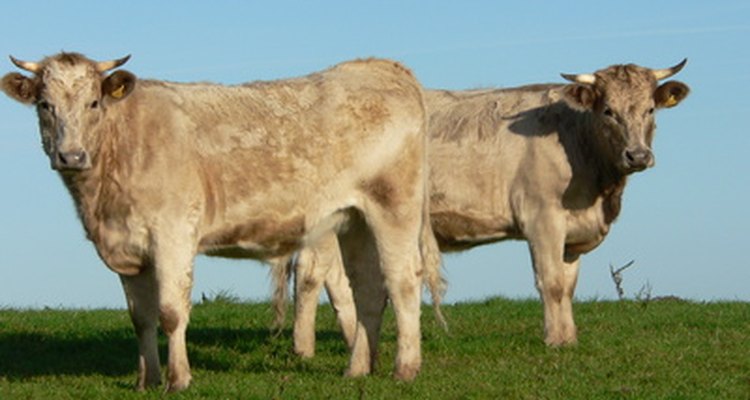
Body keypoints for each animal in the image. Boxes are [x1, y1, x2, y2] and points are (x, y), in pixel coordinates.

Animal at [2, 52, 440, 390]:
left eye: (93, 103)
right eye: (44, 105)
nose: (70, 155)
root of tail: (376, 66)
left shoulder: (173, 234)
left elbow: (171, 311)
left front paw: (178, 379)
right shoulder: (128, 249)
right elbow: (141, 319)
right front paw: (147, 380)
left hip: (393, 205)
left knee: (402, 280)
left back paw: (405, 369)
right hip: (354, 220)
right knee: (368, 289)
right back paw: (357, 370)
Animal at [274, 60, 692, 356]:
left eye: (650, 109)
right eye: (608, 111)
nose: (638, 155)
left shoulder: (573, 234)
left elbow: (569, 286)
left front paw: (570, 337)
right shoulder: (542, 220)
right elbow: (552, 283)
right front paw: (555, 341)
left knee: (336, 279)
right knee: (312, 275)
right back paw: (306, 349)